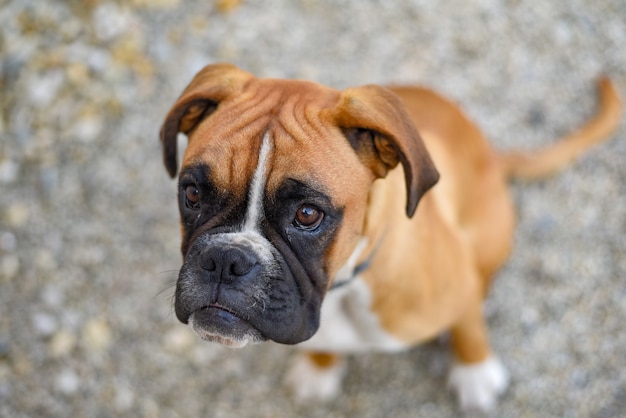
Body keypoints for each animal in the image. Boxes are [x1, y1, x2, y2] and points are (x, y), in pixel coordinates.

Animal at [157, 63, 620, 410]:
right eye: (192, 193)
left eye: (308, 215)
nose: (226, 259)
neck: (345, 286)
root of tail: (493, 155)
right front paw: (320, 367)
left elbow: (469, 327)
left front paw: (474, 372)